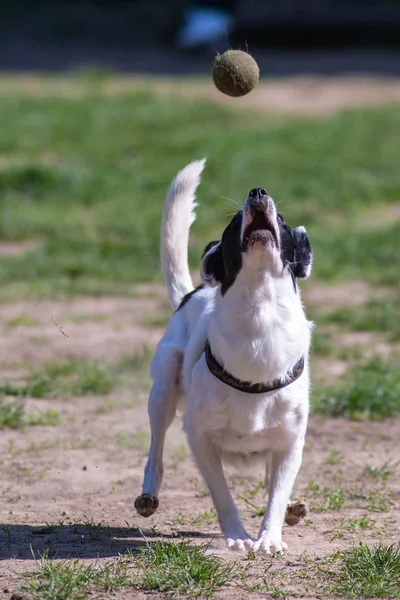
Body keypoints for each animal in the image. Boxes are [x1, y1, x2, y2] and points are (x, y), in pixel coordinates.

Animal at [134, 158, 312, 552]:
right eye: (233, 222)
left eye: (283, 222)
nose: (258, 191)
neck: (260, 315)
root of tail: (194, 290)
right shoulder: (200, 438)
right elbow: (221, 493)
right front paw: (237, 536)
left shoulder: (292, 440)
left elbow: (278, 490)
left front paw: (269, 537)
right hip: (163, 386)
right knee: (156, 449)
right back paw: (149, 492)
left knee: (273, 478)